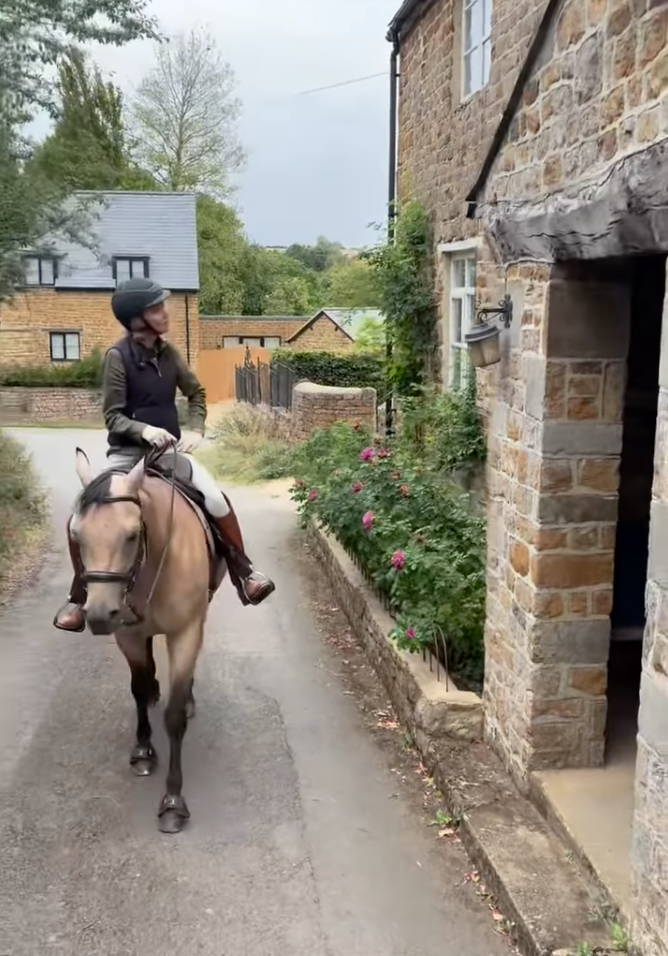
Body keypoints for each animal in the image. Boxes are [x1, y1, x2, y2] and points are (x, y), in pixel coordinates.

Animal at [71, 447, 226, 833]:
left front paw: (173, 801)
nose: (99, 615)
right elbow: (139, 690)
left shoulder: (185, 632)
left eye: (130, 535)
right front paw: (143, 751)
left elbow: (174, 716)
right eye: (77, 536)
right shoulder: (128, 634)